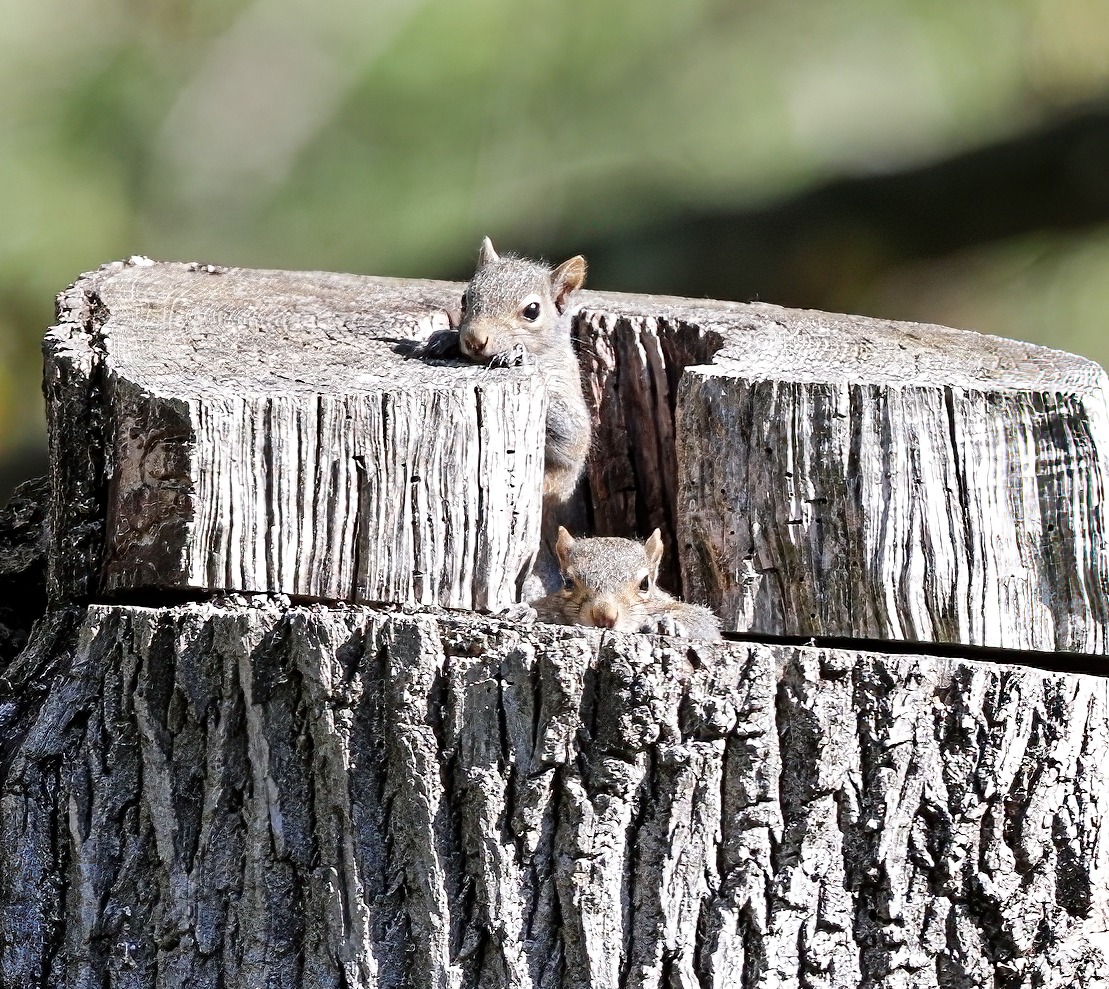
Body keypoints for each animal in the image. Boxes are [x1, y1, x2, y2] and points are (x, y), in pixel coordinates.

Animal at [422, 237, 591, 503]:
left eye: (532, 310)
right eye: (464, 299)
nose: (474, 340)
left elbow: (573, 434)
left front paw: (518, 355)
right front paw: (444, 339)